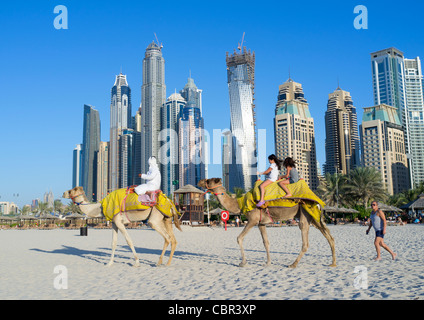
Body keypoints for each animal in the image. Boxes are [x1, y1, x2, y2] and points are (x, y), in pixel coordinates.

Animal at [197, 178, 336, 268]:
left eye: (208, 180)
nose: (199, 182)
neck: (240, 204)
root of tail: (319, 201)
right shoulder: (261, 223)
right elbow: (266, 242)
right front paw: (268, 263)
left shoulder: (252, 220)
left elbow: (239, 238)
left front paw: (242, 263)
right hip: (314, 217)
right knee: (329, 236)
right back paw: (333, 263)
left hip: (305, 213)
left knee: (306, 240)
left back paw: (293, 264)